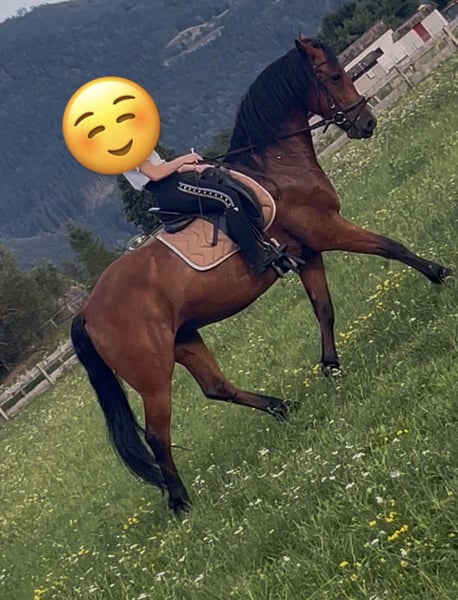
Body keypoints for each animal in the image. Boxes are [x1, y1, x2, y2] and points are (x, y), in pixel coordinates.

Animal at [71, 35, 449, 514]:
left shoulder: (309, 253)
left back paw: (283, 406)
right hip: (152, 372)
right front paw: (438, 272)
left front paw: (331, 368)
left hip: (183, 337)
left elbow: (324, 308)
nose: (366, 124)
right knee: (159, 434)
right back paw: (181, 502)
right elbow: (390, 246)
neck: (278, 166)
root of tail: (88, 310)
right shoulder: (327, 230)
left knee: (215, 386)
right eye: (334, 76)